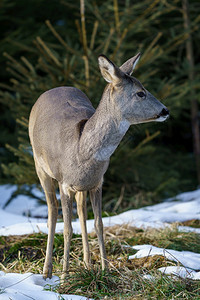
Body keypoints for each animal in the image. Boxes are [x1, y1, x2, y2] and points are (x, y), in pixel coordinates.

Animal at [28, 53, 169, 278]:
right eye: (140, 92)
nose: (166, 110)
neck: (81, 150)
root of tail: (54, 88)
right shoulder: (64, 183)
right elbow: (67, 228)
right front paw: (65, 276)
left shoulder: (97, 182)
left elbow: (99, 224)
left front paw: (105, 270)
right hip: (39, 166)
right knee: (52, 211)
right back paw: (47, 271)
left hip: (80, 187)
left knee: (81, 212)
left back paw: (87, 264)